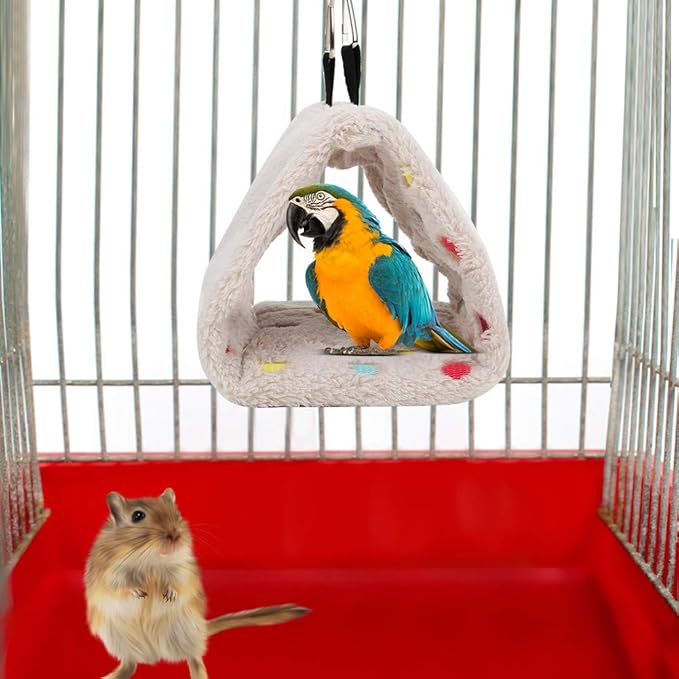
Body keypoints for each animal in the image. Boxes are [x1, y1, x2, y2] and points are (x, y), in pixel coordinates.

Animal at [85, 488, 309, 679]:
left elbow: (178, 584)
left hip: (185, 631)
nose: (175, 535)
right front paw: (140, 593)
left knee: (194, 658)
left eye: (176, 513)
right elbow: (118, 587)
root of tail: (155, 654)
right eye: (137, 516)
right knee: (130, 664)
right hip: (119, 641)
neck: (151, 561)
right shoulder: (108, 573)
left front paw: (169, 595)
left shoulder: (183, 570)